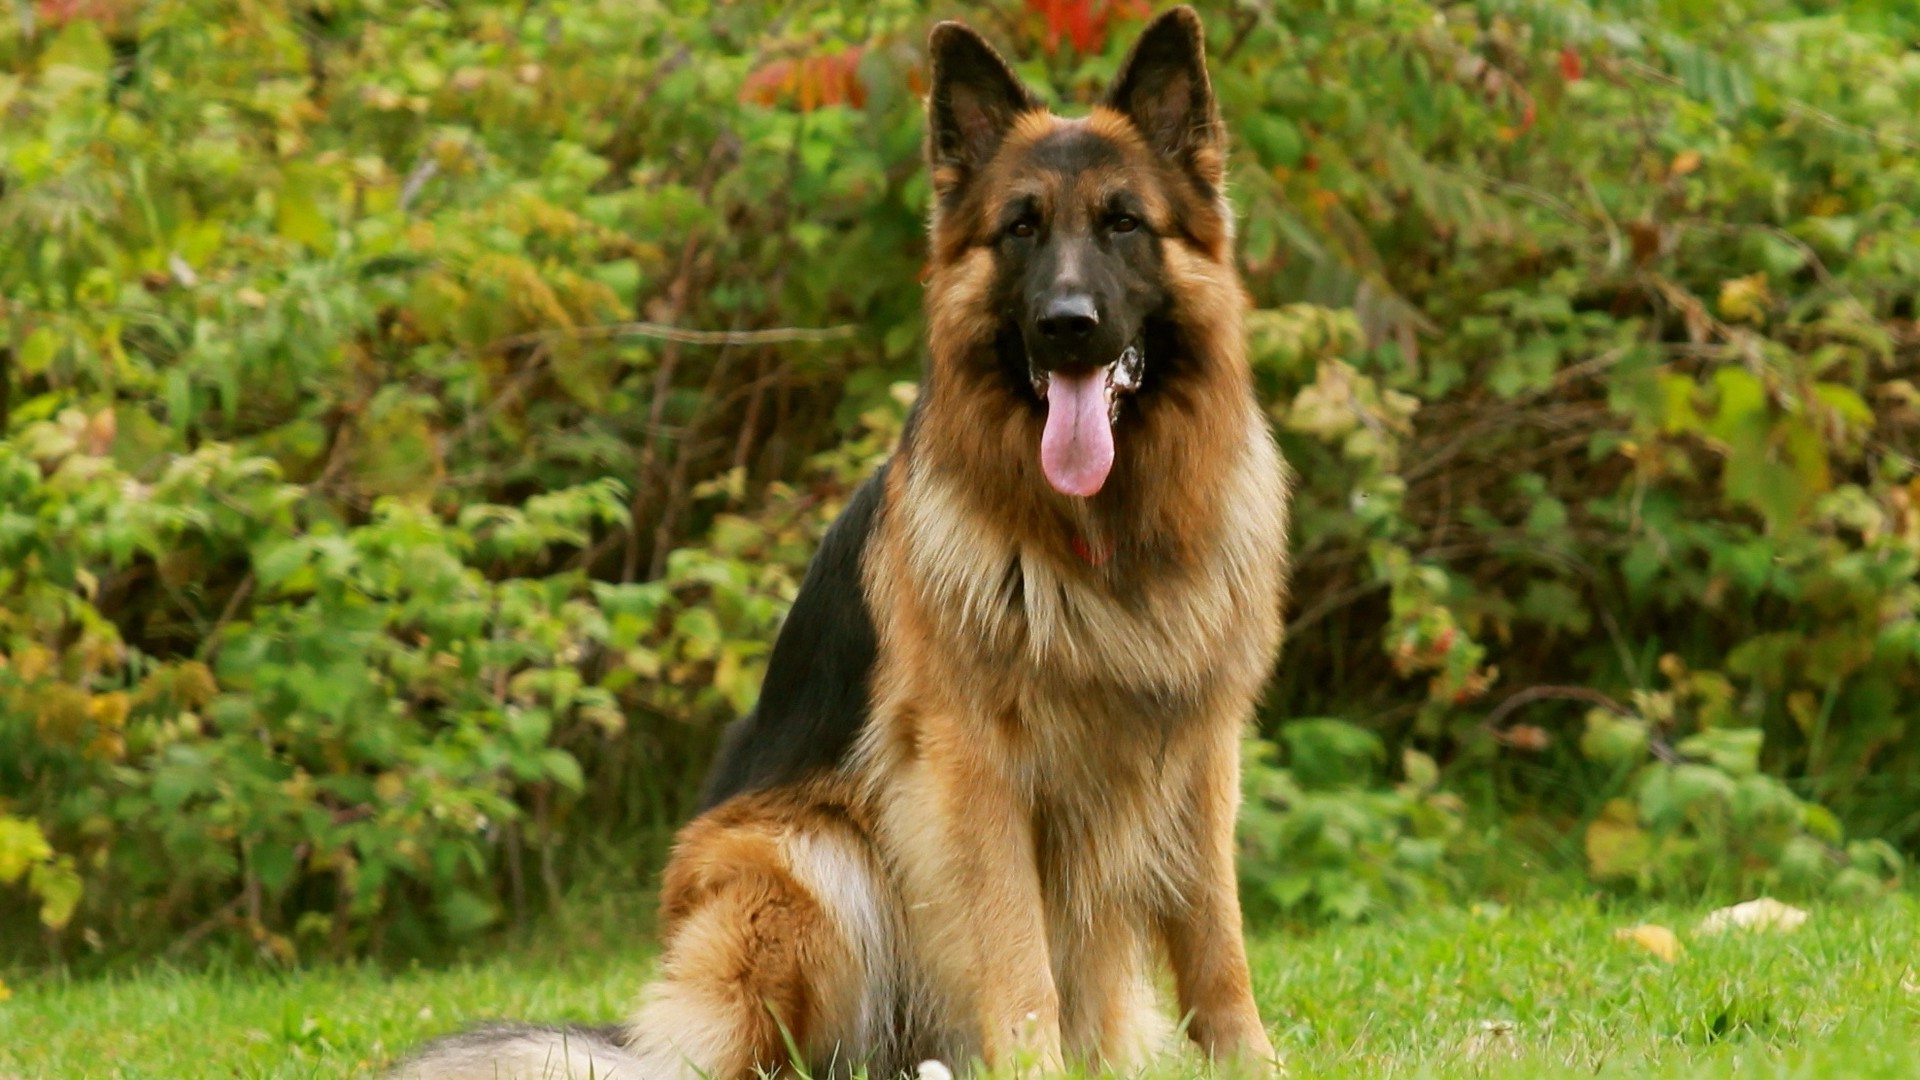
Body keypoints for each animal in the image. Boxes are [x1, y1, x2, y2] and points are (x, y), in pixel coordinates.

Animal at [395, 4, 1282, 1068]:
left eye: (1124, 223)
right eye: (1020, 228)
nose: (1067, 325)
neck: (1103, 535)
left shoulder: (1201, 755)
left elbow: (1219, 942)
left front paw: (1255, 1064)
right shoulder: (973, 771)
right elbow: (1017, 953)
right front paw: (1034, 1068)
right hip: (811, 861)